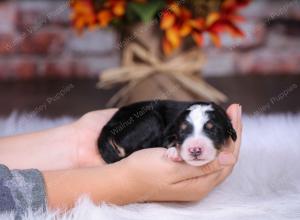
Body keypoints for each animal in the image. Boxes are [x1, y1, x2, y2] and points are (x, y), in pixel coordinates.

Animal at [98, 100, 237, 166]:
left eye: (213, 129)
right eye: (182, 131)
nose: (195, 150)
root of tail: (107, 128)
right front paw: (175, 152)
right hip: (151, 119)